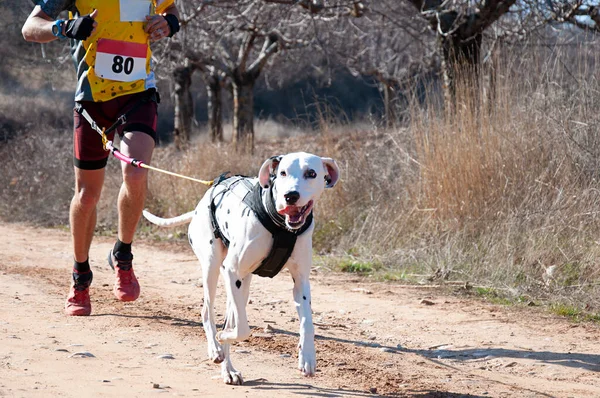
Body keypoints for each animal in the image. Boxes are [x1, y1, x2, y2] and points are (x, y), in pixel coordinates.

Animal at [141, 152, 338, 382]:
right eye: (282, 173)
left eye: (311, 173)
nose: (290, 196)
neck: (279, 226)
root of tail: (200, 205)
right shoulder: (231, 270)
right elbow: (242, 329)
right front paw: (222, 338)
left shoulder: (301, 282)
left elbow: (307, 322)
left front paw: (307, 356)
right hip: (213, 268)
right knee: (208, 311)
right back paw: (216, 349)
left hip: (241, 285)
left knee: (230, 317)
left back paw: (229, 370)